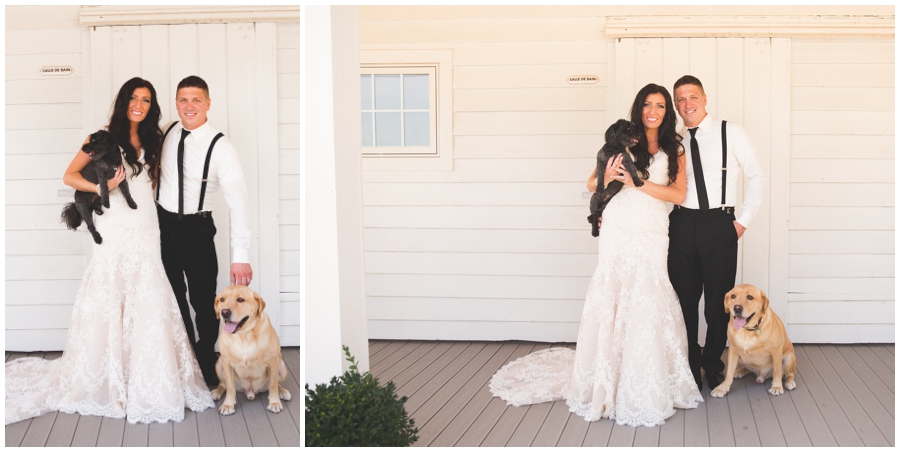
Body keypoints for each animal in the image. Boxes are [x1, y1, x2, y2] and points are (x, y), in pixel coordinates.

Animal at [214, 284, 292, 414]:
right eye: (222, 299)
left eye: (240, 299)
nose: (224, 312)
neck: (244, 335)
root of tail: (251, 391)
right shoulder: (226, 363)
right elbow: (230, 387)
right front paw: (228, 405)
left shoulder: (273, 362)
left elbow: (273, 385)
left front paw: (274, 402)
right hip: (219, 364)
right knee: (223, 384)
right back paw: (217, 392)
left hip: (282, 367)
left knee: (276, 383)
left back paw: (282, 392)